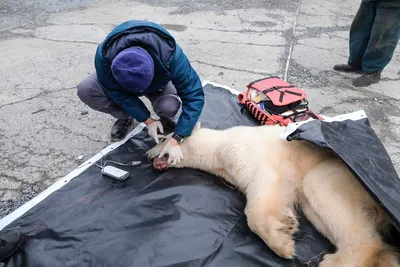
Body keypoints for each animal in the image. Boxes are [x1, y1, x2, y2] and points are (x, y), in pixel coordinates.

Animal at [145, 122, 398, 267]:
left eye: (164, 138)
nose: (148, 154)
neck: (218, 147)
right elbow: (280, 195)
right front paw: (287, 223)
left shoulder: (243, 151)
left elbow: (264, 188)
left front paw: (282, 244)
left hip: (336, 174)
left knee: (319, 190)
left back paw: (336, 262)